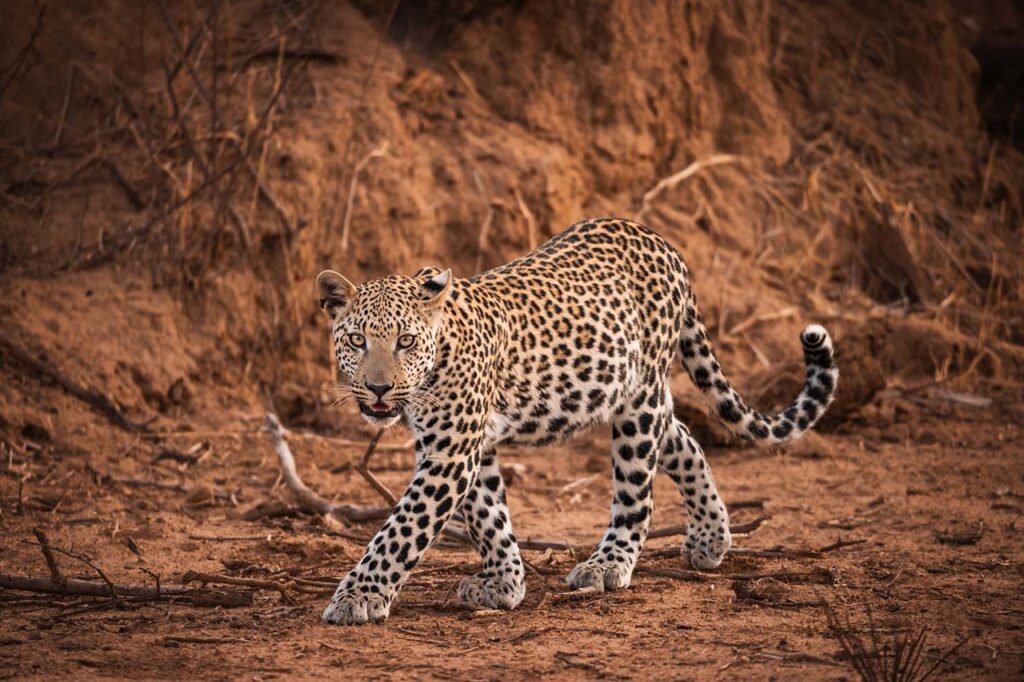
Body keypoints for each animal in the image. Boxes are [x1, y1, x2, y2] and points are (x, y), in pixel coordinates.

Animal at [315, 216, 835, 622]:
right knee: (683, 437)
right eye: (358, 340)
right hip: (637, 396)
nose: (379, 388)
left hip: (639, 399)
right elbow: (488, 516)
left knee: (638, 491)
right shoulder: (464, 445)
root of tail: (662, 242)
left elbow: (400, 529)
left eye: (405, 341)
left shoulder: (452, 451)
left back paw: (608, 563)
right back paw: (710, 537)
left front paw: (358, 596)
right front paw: (503, 582)